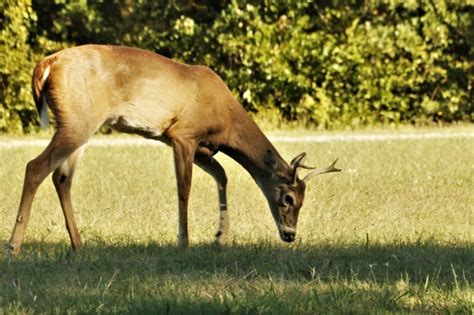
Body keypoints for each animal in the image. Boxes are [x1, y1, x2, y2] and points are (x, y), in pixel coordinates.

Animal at [8, 45, 340, 256]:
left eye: (303, 200)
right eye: (288, 198)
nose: (290, 235)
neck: (225, 117)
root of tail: (46, 65)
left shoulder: (205, 147)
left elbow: (222, 176)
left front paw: (220, 237)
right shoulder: (183, 135)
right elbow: (184, 187)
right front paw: (184, 241)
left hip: (80, 125)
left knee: (62, 178)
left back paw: (79, 245)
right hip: (77, 120)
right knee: (34, 166)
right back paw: (14, 246)